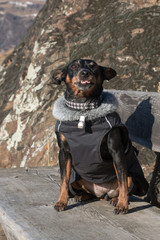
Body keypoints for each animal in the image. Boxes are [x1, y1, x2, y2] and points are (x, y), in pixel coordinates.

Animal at [52, 59, 148, 215]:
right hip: (77, 178)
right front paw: (61, 202)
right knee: (83, 190)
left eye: (93, 66)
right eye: (73, 66)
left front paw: (122, 205)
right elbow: (63, 180)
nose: (85, 72)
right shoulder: (64, 153)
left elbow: (122, 183)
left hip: (134, 178)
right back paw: (82, 196)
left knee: (125, 185)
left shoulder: (116, 152)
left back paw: (117, 200)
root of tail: (103, 193)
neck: (83, 109)